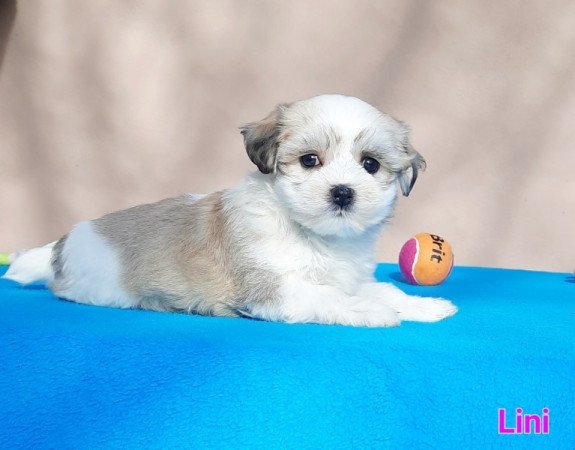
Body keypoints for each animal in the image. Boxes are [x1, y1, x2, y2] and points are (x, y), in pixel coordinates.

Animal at [2, 96, 456, 326]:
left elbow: (381, 289)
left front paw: (422, 306)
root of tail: (63, 243)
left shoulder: (350, 277)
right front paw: (372, 312)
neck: (314, 236)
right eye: (310, 161)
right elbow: (326, 296)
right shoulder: (271, 288)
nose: (342, 193)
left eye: (370, 165)